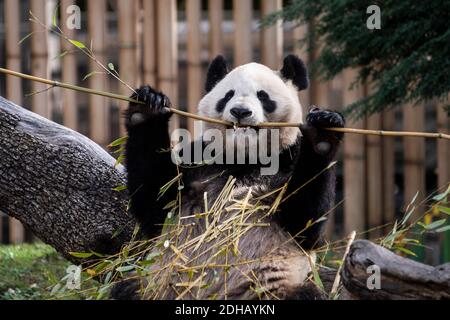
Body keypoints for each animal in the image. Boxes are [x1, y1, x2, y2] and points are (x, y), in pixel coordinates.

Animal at [117, 55, 344, 300]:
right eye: (228, 95)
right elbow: (154, 203)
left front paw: (323, 131)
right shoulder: (198, 161)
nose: (240, 112)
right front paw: (147, 106)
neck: (244, 158)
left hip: (270, 284)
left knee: (305, 294)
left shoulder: (288, 158)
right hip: (154, 284)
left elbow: (305, 224)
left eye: (263, 96)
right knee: (125, 288)